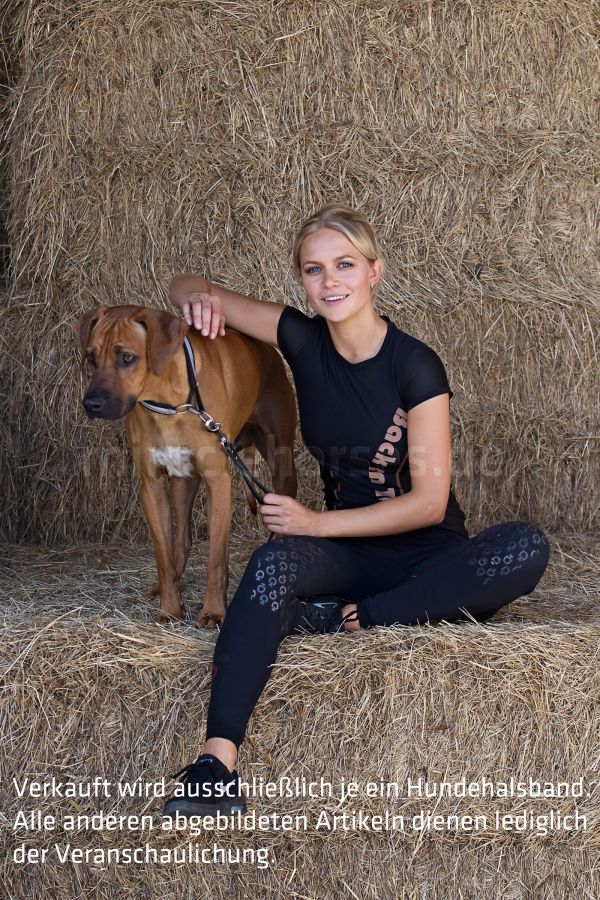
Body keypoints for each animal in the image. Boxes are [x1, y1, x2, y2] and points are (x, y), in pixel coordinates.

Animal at [75, 305, 297, 627]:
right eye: (91, 357)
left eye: (127, 357)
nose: (91, 404)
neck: (170, 404)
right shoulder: (151, 486)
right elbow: (164, 556)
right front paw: (170, 608)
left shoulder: (218, 482)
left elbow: (215, 559)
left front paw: (214, 611)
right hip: (184, 481)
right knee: (181, 541)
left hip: (281, 458)